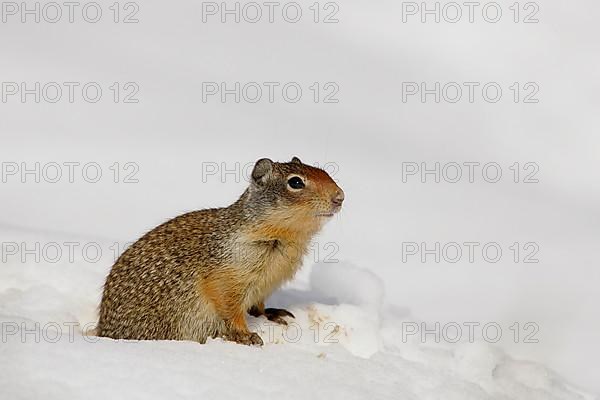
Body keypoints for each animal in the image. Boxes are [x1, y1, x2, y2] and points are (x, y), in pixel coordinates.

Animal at [96, 158, 344, 346]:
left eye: (324, 171)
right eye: (295, 182)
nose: (340, 197)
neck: (284, 238)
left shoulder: (264, 284)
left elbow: (258, 305)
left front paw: (270, 314)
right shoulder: (228, 277)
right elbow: (230, 309)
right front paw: (246, 336)